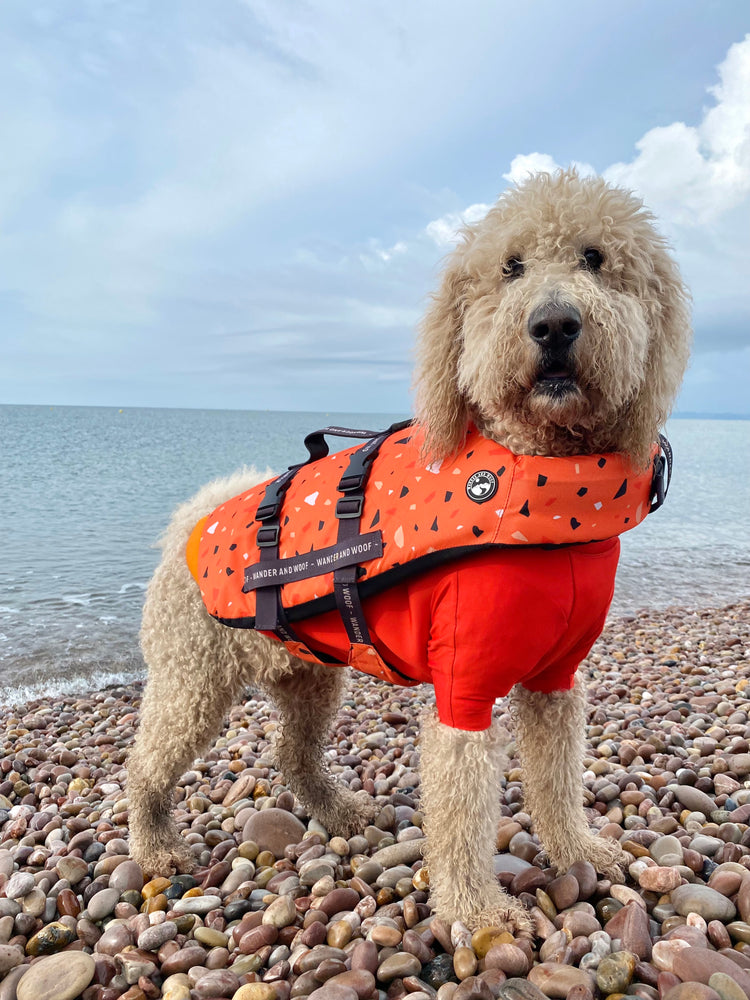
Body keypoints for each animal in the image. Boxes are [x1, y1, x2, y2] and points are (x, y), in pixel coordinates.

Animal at [126, 168, 692, 932]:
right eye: (511, 267)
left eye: (596, 258)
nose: (552, 324)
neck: (550, 484)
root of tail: (189, 523)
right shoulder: (464, 690)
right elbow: (461, 809)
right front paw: (478, 913)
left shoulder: (555, 682)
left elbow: (557, 779)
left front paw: (579, 850)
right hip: (192, 681)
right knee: (145, 764)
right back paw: (155, 845)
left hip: (309, 678)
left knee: (292, 754)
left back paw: (340, 812)